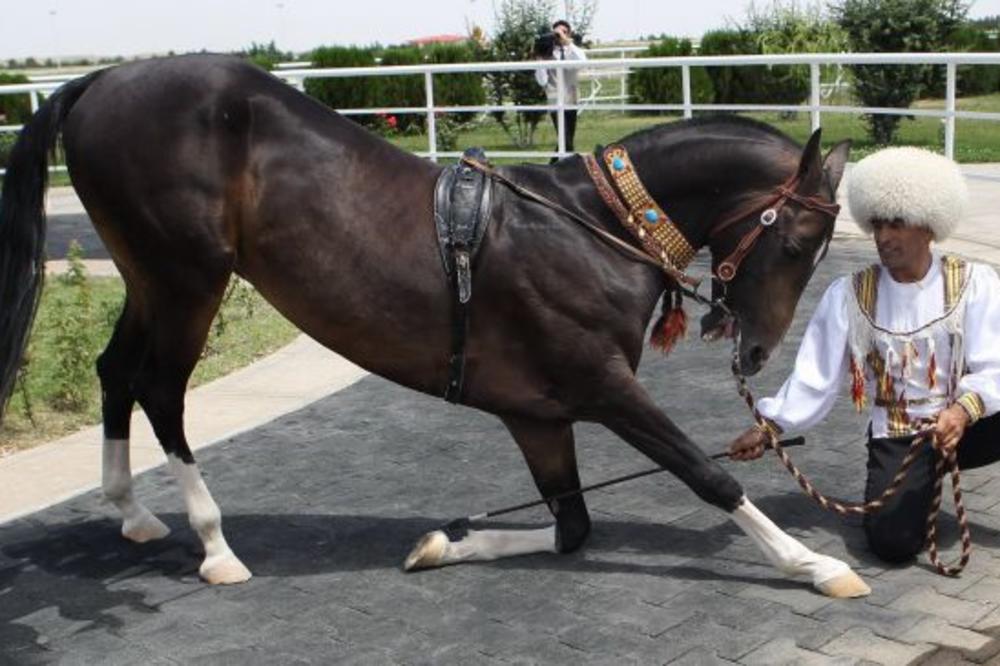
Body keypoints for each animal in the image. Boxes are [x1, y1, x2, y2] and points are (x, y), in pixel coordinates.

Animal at [0, 55, 868, 596]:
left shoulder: (537, 413)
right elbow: (704, 473)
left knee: (115, 371)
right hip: (187, 279)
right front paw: (811, 564)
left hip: (150, 279)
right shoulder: (600, 384)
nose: (755, 349)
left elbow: (572, 525)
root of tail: (101, 82)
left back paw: (134, 514)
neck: (588, 228)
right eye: (797, 244)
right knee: (160, 390)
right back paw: (215, 546)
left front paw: (442, 542)